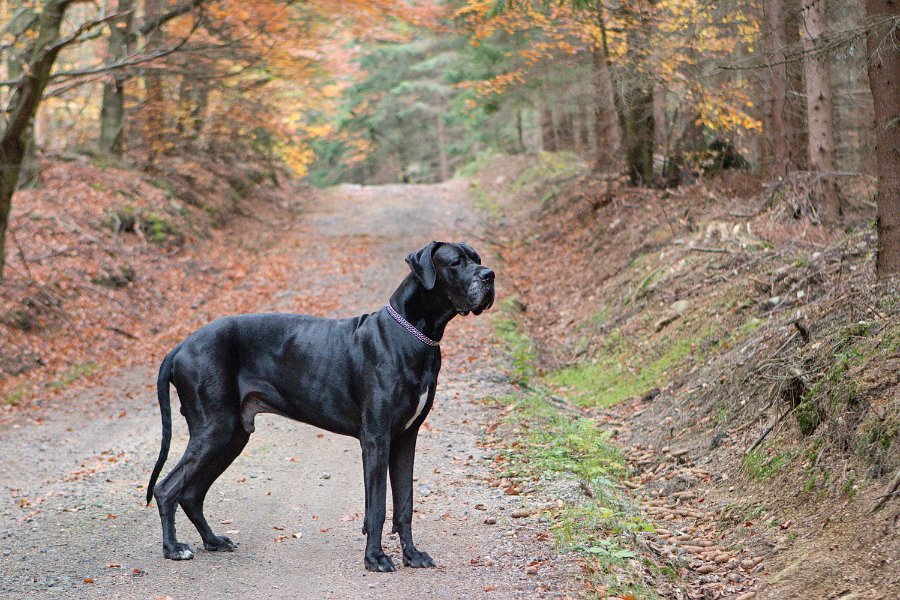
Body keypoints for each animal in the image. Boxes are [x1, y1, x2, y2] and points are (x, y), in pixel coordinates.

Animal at [150, 240, 496, 572]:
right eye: (456, 262)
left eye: (478, 258)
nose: (489, 275)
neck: (413, 335)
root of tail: (181, 346)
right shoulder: (376, 438)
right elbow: (377, 506)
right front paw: (375, 558)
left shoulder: (405, 438)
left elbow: (405, 504)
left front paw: (411, 555)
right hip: (215, 429)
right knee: (167, 488)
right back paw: (173, 549)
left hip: (233, 435)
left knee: (191, 493)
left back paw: (212, 541)